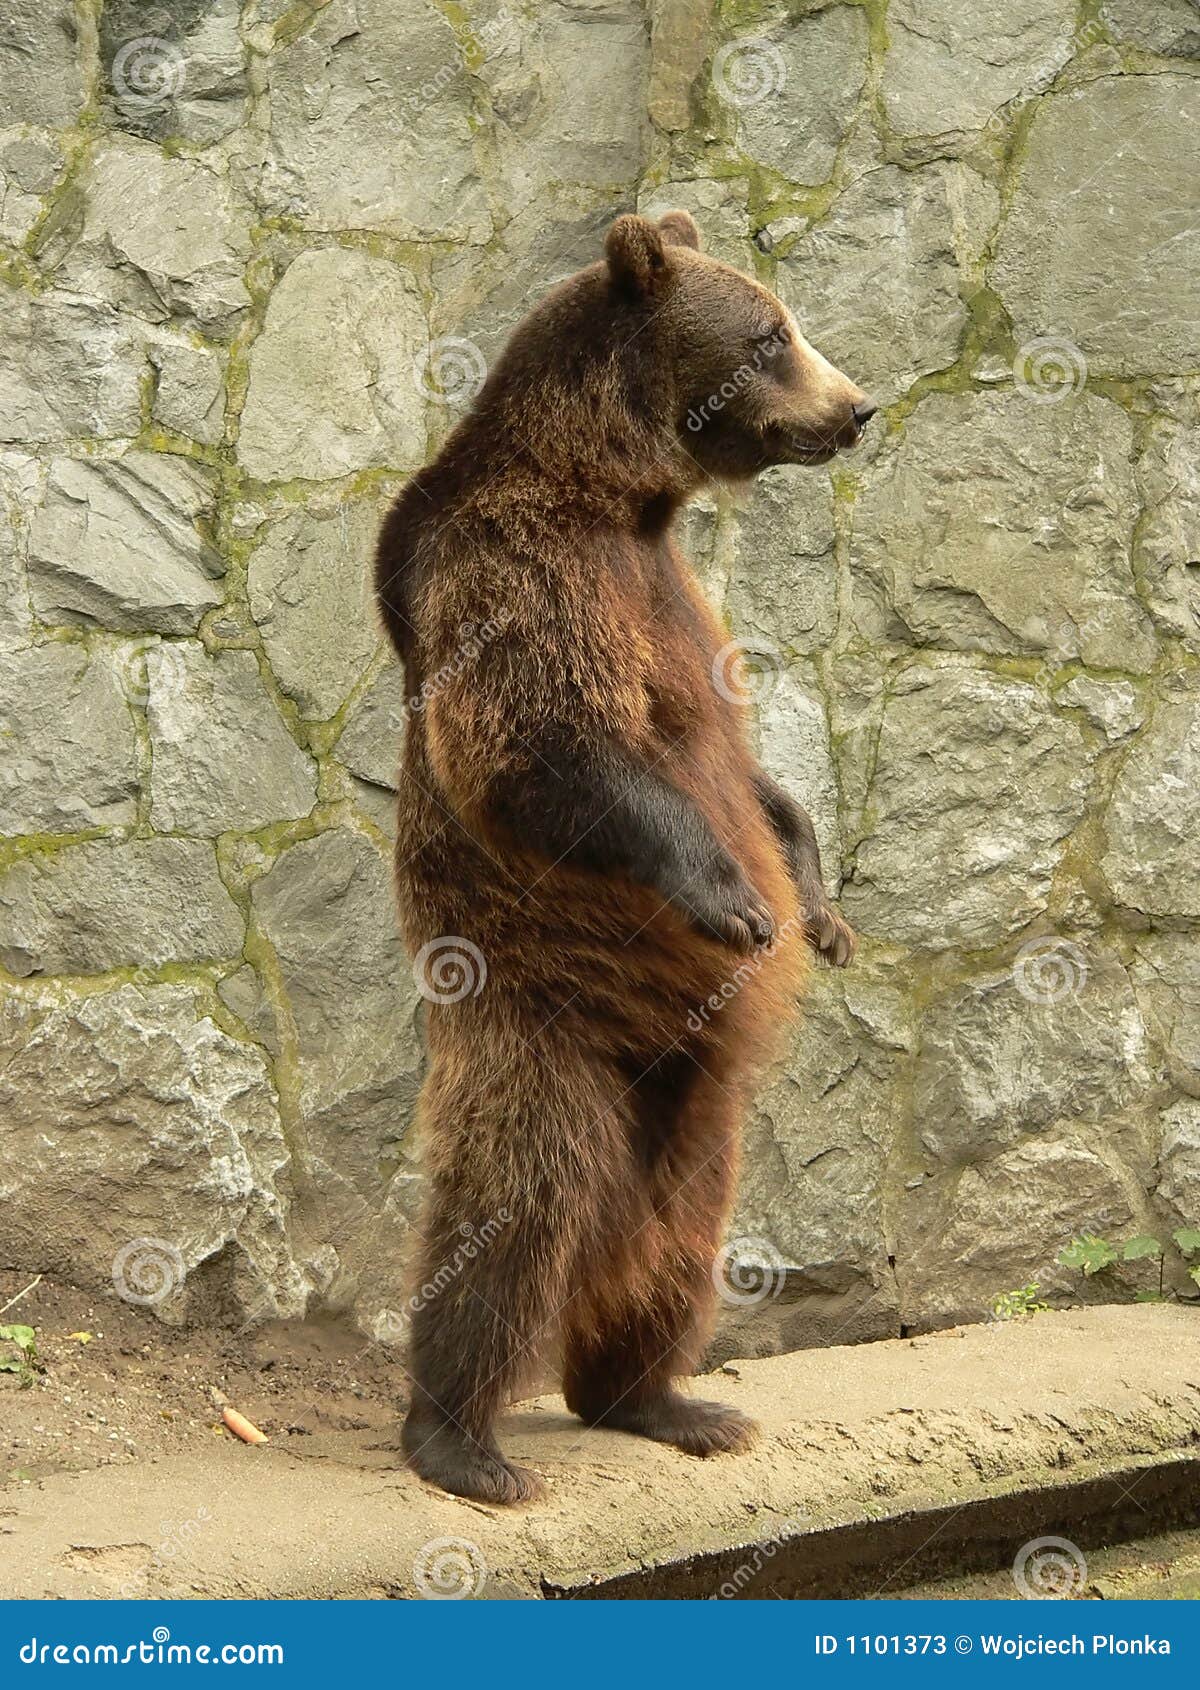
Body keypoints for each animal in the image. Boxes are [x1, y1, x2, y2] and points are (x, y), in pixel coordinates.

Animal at [373, 211, 872, 1507]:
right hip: (538, 1013)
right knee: (520, 1199)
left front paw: (822, 909)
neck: (618, 494)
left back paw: (665, 1398)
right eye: (770, 333)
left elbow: (753, 775)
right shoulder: (522, 570)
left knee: (681, 1223)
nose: (858, 407)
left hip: (693, 1090)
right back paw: (463, 1439)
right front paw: (738, 900)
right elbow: (546, 743)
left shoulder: (676, 598)